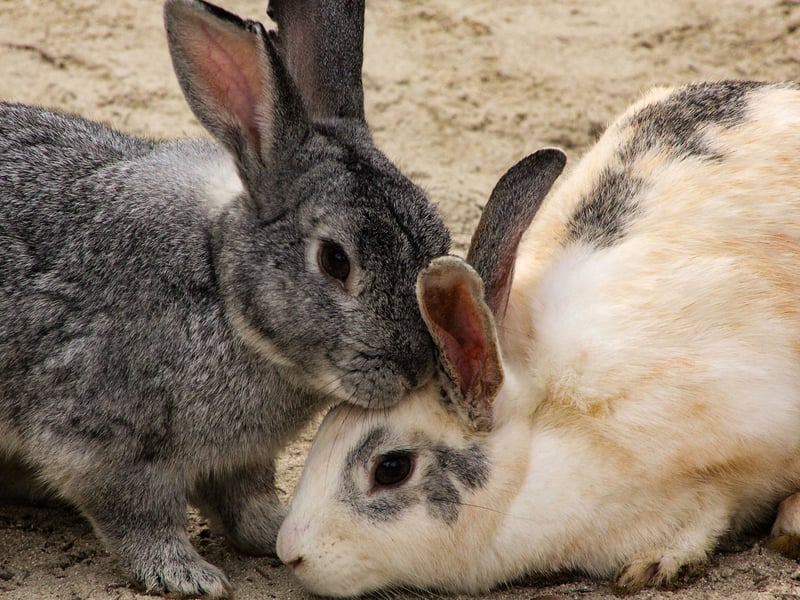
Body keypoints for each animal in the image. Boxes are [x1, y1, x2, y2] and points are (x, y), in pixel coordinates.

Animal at [0, 0, 450, 596]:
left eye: (439, 239)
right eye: (336, 260)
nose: (416, 367)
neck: (220, 284)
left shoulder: (241, 461)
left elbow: (245, 503)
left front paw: (276, 533)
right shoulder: (102, 441)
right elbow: (138, 516)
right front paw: (187, 574)